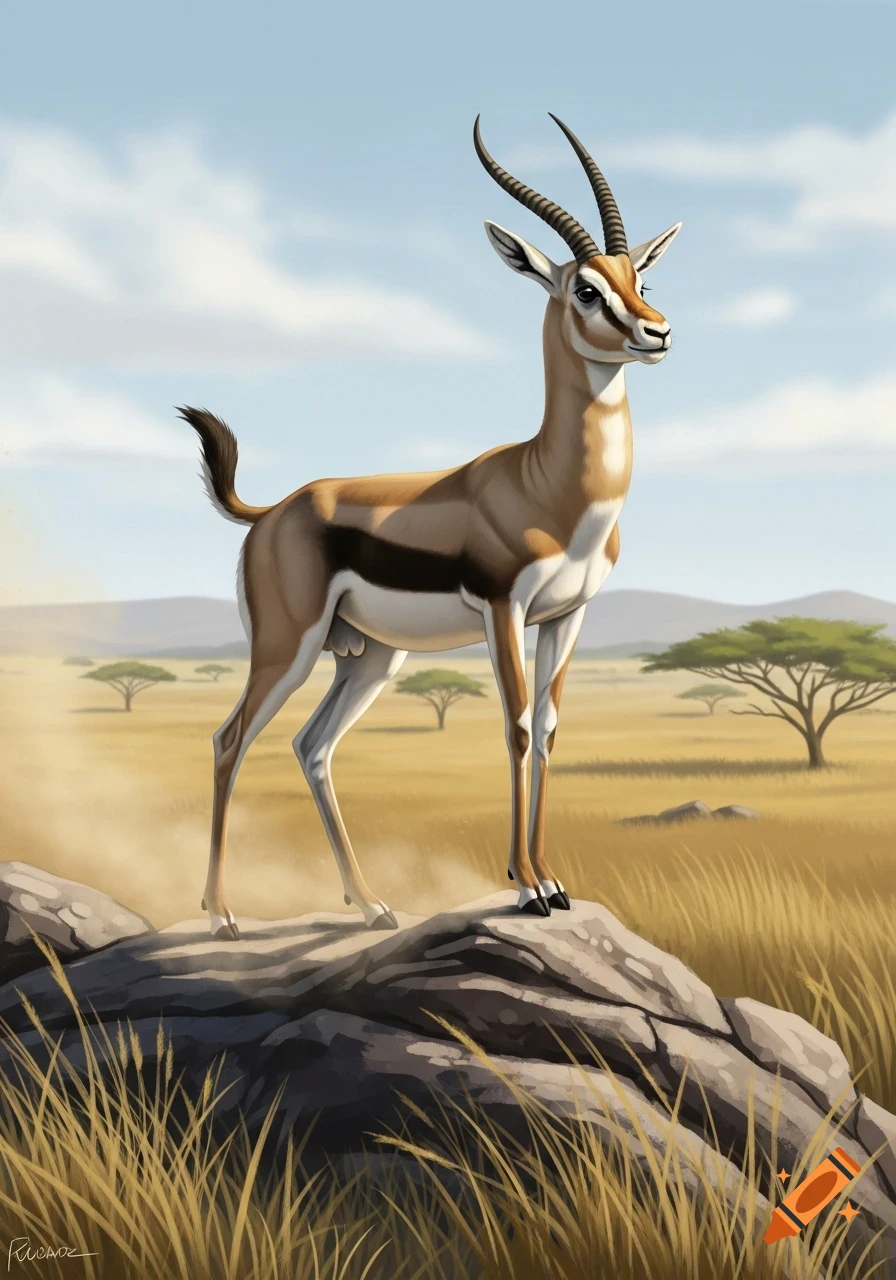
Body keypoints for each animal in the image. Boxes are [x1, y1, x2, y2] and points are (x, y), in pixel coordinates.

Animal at [180, 114, 681, 939]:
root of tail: (273, 509)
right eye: (586, 288)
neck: (547, 483)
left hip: (371, 658)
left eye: (642, 279)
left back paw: (373, 905)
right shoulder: (504, 608)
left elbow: (549, 728)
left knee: (312, 746)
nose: (658, 331)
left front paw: (554, 881)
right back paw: (221, 915)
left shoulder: (567, 615)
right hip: (289, 645)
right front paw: (527, 889)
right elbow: (514, 726)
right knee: (229, 739)